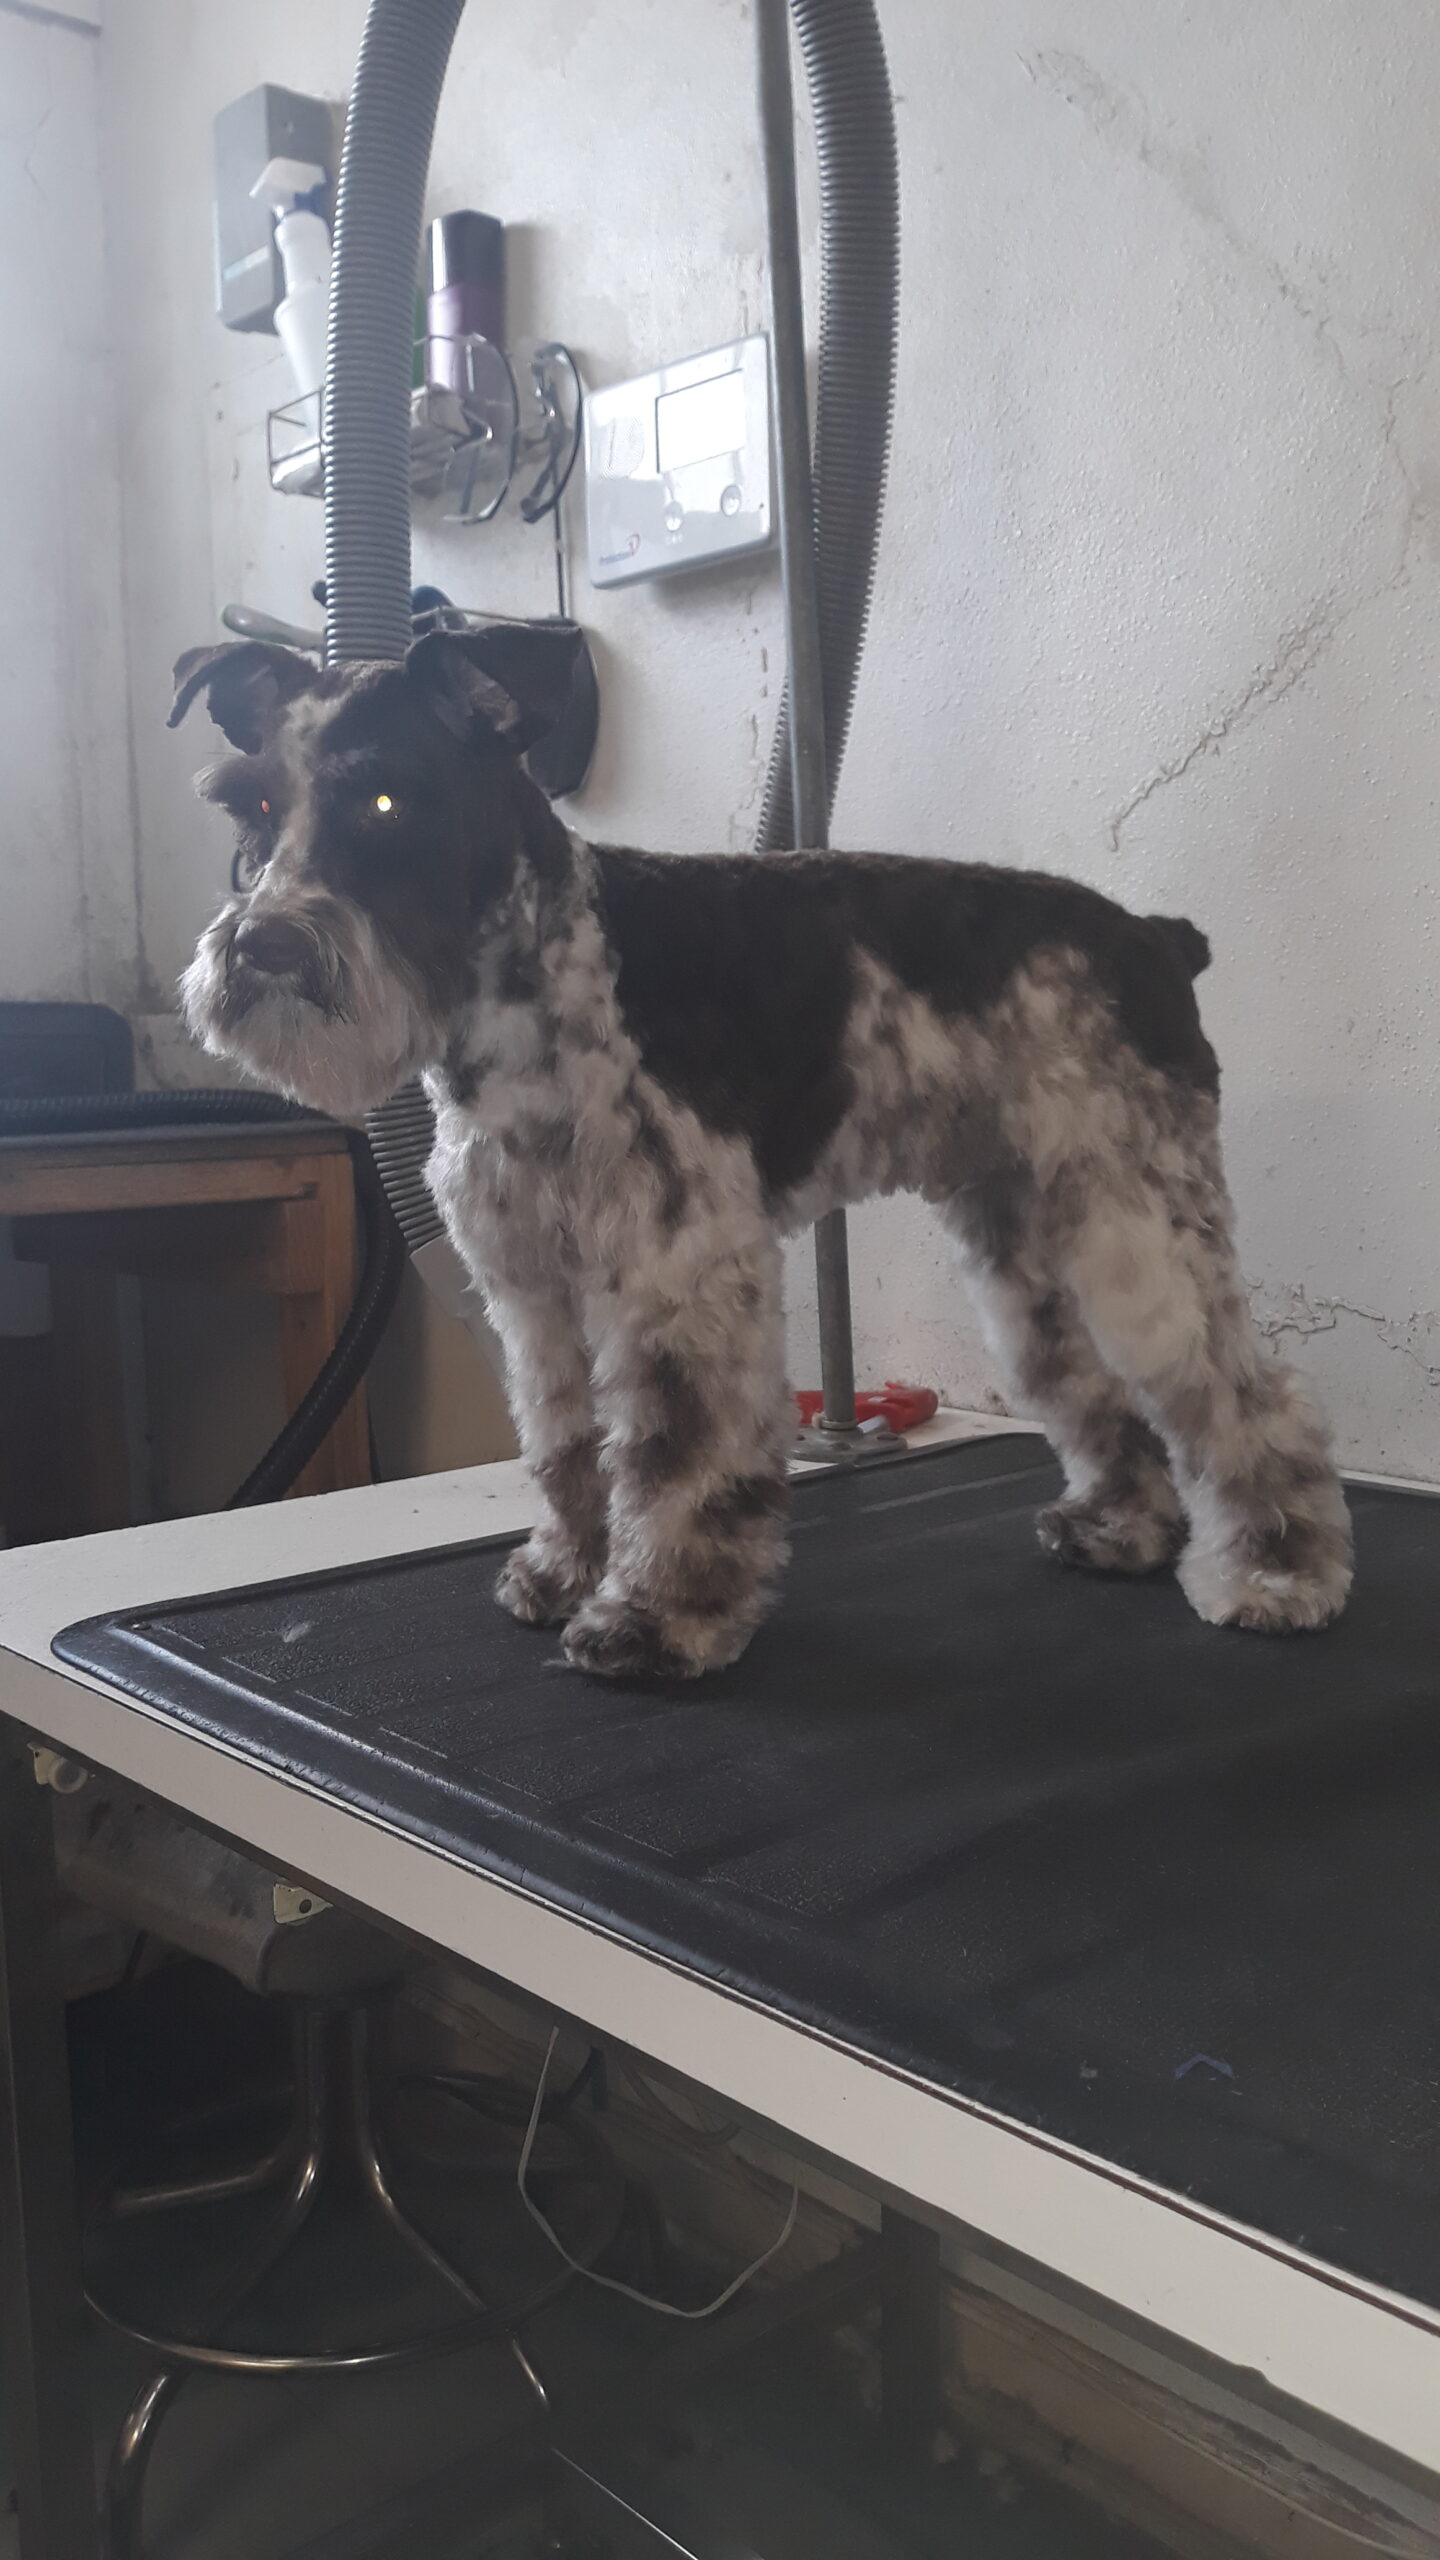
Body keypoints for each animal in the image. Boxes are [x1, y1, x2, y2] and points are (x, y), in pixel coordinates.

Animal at [173, 622, 1353, 1679]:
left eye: (386, 799)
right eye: (255, 807)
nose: (264, 947)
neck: (542, 980)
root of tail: (1156, 937)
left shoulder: (676, 1274)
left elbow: (674, 1454)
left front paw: (651, 1620)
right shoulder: (533, 1291)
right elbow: (564, 1445)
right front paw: (563, 1573)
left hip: (1135, 1224)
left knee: (1243, 1398)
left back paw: (1277, 1576)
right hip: (1030, 1252)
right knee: (1101, 1394)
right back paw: (1124, 1531)